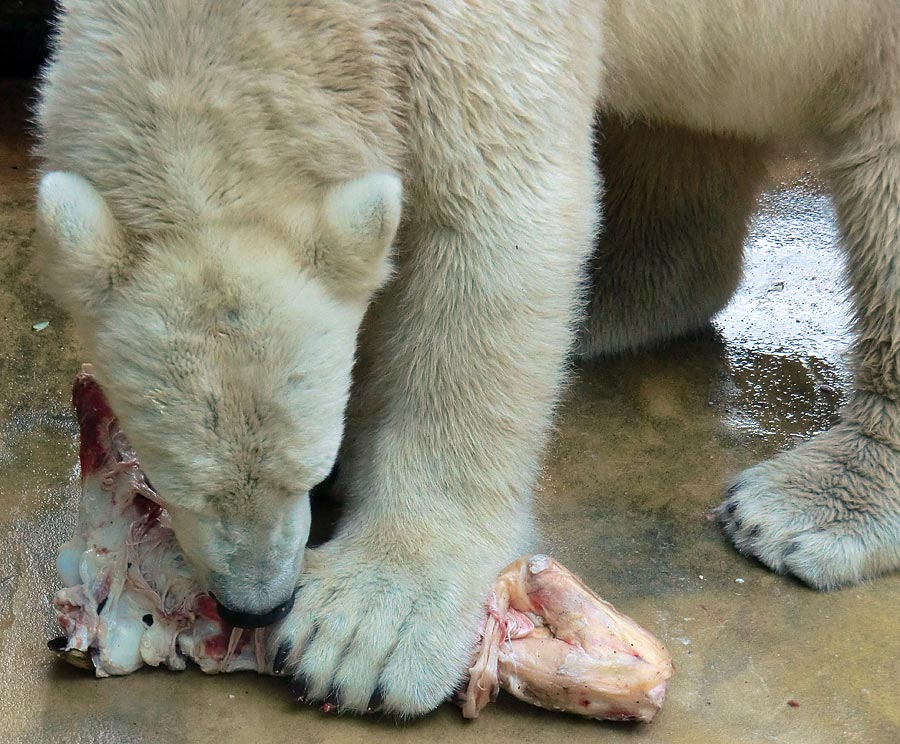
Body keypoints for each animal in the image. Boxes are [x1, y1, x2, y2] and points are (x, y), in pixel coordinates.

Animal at [31, 0, 900, 716]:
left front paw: (367, 630)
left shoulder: (472, 28)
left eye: (305, 474)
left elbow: (493, 233)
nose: (255, 607)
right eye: (172, 481)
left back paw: (812, 505)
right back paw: (620, 295)